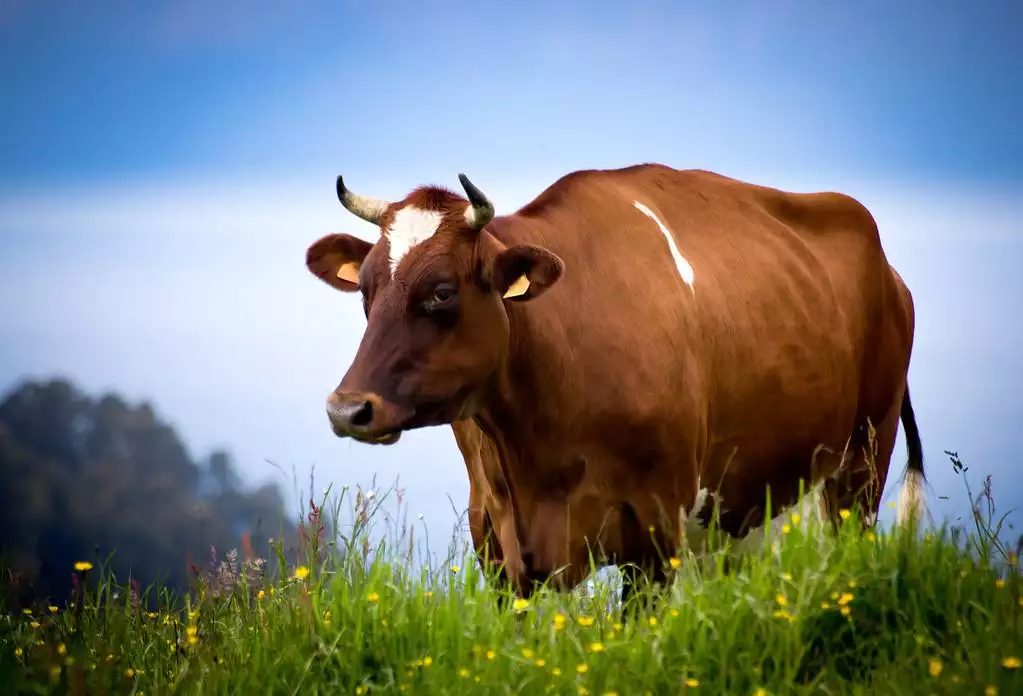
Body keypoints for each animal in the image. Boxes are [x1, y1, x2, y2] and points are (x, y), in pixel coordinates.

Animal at [304, 161, 928, 597]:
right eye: (365, 289)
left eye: (441, 291)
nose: (346, 409)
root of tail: (891, 271)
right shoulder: (496, 539)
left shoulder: (655, 529)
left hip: (861, 467)